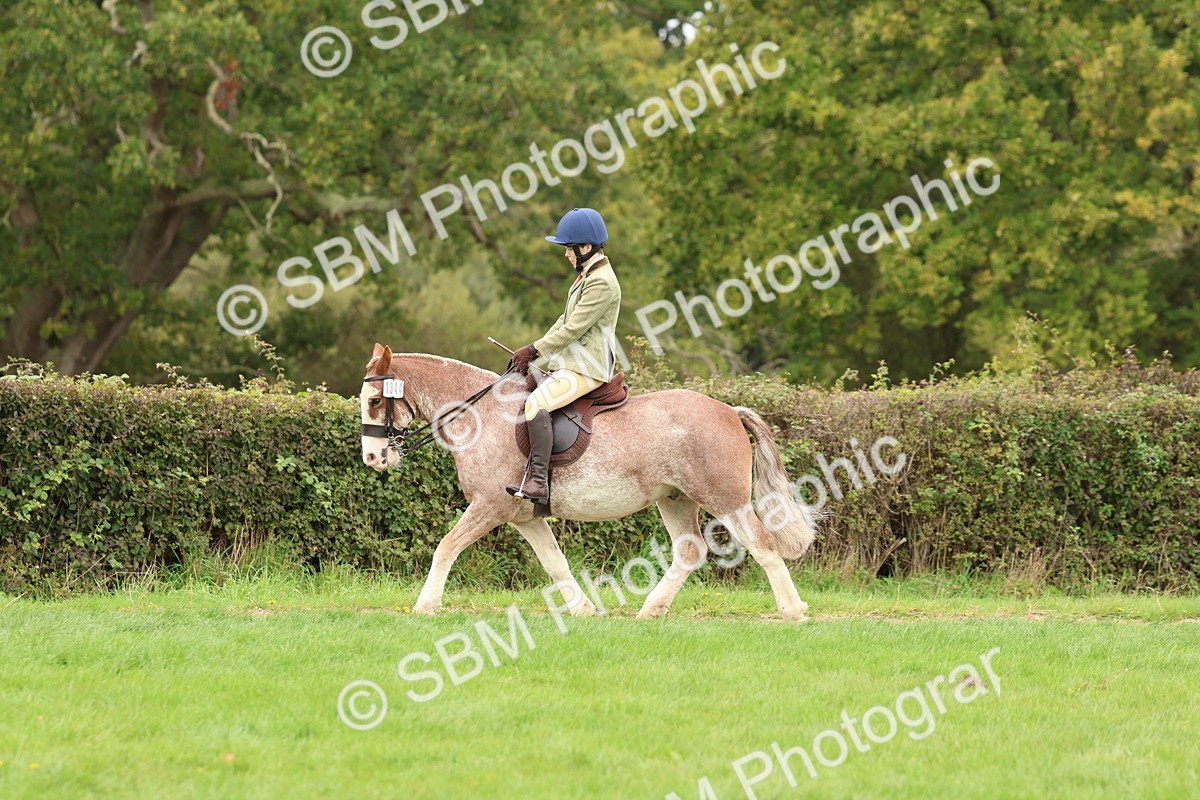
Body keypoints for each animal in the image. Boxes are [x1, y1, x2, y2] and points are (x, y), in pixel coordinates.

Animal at [358, 343, 819, 621]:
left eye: (376, 400)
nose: (373, 458)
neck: (482, 416)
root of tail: (729, 410)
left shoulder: (489, 506)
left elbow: (446, 546)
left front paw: (425, 604)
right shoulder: (525, 517)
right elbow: (554, 561)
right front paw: (582, 609)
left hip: (725, 499)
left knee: (763, 544)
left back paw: (793, 610)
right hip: (675, 499)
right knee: (690, 551)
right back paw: (651, 609)